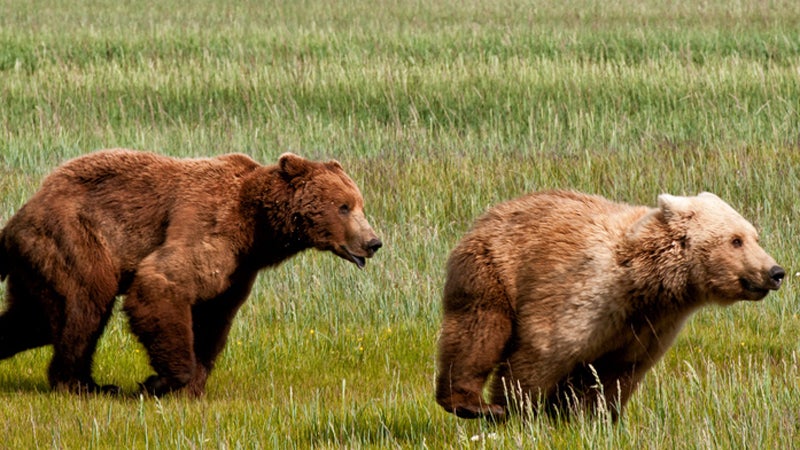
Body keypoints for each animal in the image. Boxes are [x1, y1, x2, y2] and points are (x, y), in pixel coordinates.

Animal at [0, 149, 380, 396]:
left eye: (360, 204)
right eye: (343, 206)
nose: (373, 242)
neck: (257, 230)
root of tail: (18, 218)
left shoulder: (238, 270)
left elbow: (213, 319)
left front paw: (193, 385)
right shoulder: (212, 225)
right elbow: (162, 281)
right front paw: (161, 381)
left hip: (40, 262)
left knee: (33, 319)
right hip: (75, 238)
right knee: (83, 308)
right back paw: (81, 384)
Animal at [434, 190, 784, 422]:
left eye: (754, 236)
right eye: (736, 240)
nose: (775, 271)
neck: (645, 285)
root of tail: (491, 213)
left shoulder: (647, 327)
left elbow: (616, 375)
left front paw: (593, 419)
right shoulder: (586, 295)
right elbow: (543, 352)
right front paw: (517, 410)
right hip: (492, 270)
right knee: (479, 329)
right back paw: (472, 404)